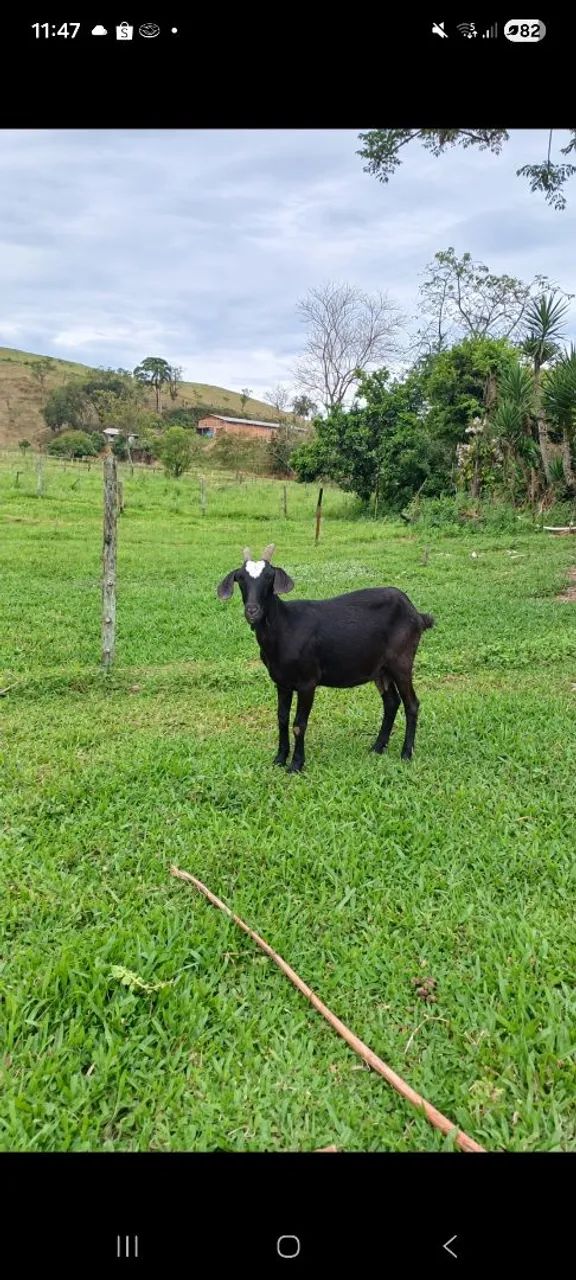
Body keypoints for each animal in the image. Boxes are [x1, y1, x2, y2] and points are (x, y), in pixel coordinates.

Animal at [217, 544, 434, 773]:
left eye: (269, 576)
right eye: (240, 578)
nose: (252, 610)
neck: (285, 627)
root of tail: (416, 614)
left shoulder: (307, 682)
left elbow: (299, 724)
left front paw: (296, 764)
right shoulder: (281, 682)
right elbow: (282, 718)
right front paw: (279, 759)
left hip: (402, 662)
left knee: (412, 704)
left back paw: (406, 753)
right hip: (380, 669)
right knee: (391, 702)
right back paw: (377, 747)